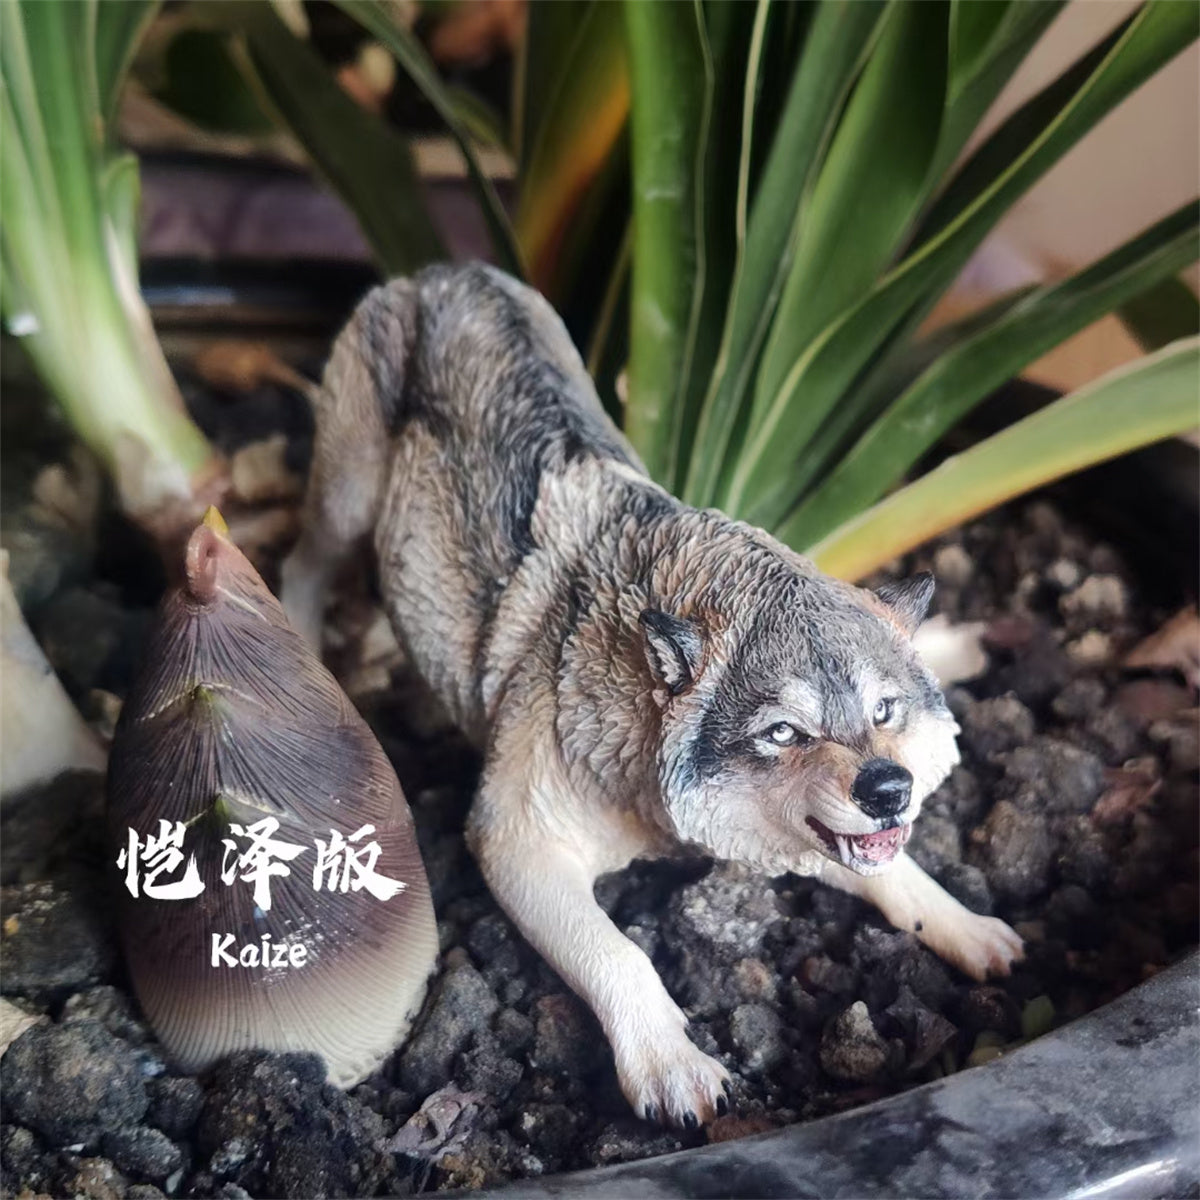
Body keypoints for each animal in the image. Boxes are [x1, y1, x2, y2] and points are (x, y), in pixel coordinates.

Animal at [281, 263, 1023, 1128]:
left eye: (883, 712)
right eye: (784, 733)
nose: (888, 789)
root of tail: (443, 271)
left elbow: (900, 876)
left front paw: (969, 928)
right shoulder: (515, 843)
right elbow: (622, 953)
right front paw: (672, 1066)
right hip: (345, 501)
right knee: (302, 564)